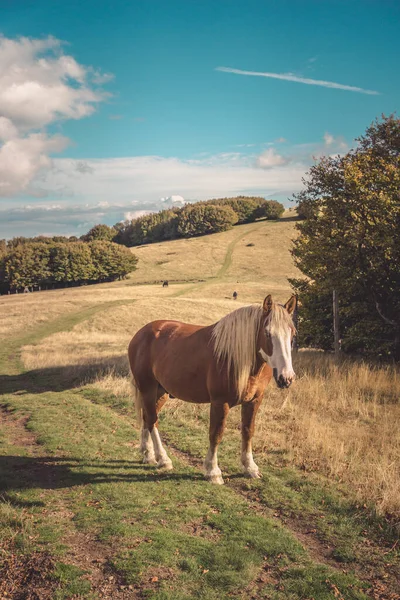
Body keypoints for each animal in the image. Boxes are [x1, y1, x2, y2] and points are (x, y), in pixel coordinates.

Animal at [128, 292, 296, 486]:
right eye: (268, 333)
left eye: (293, 334)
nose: (286, 378)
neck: (236, 357)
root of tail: (141, 333)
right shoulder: (219, 402)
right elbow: (216, 434)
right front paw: (213, 471)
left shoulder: (254, 401)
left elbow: (248, 431)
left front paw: (250, 467)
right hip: (147, 388)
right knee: (152, 420)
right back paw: (163, 459)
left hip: (160, 392)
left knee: (148, 418)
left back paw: (148, 454)